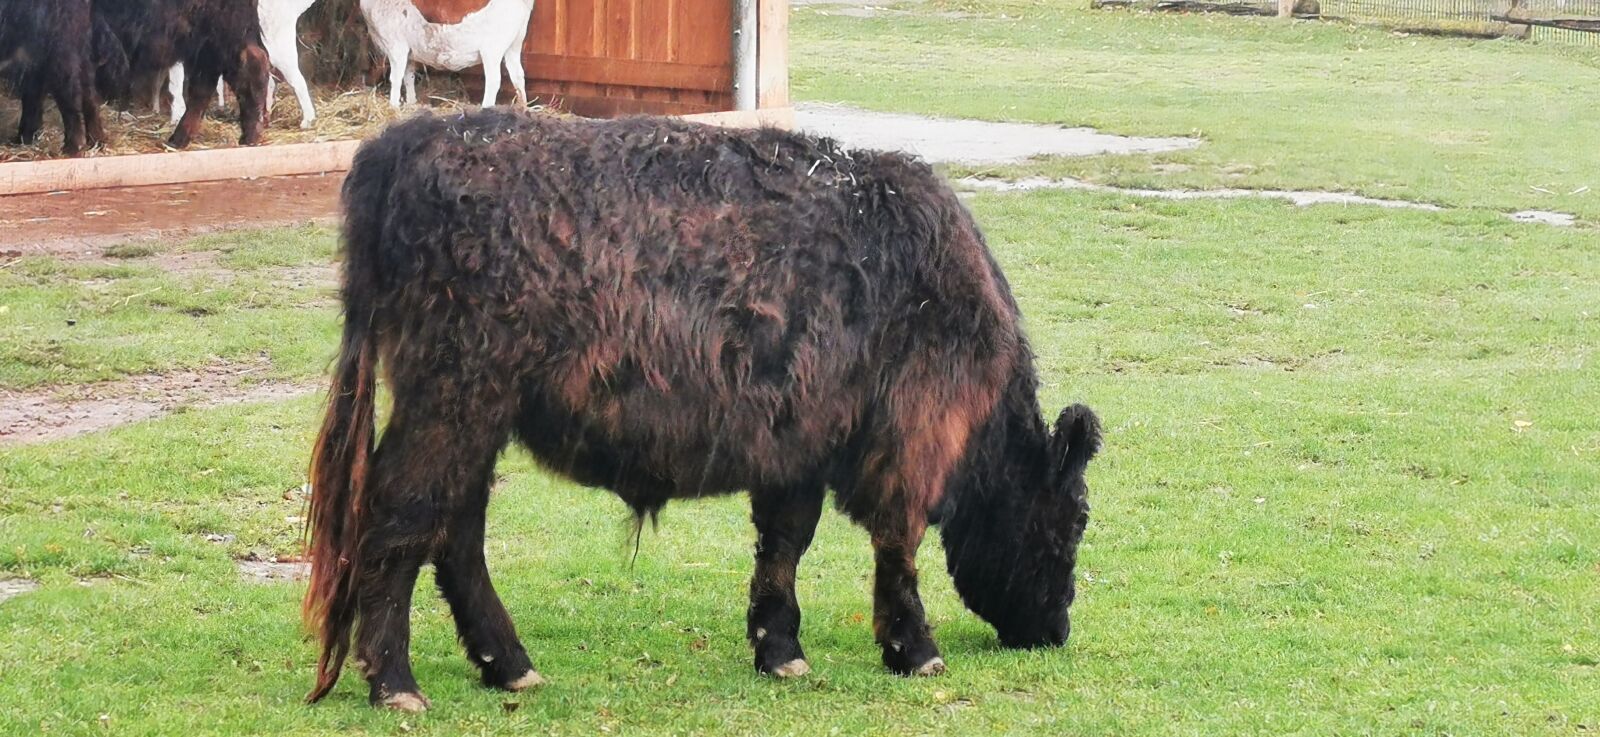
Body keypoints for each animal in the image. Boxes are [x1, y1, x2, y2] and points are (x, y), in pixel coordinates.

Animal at [303, 109, 1102, 712]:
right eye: (1072, 522)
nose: (1058, 627)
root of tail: (414, 137)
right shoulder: (909, 438)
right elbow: (895, 546)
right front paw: (917, 648)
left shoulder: (797, 441)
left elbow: (784, 544)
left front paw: (780, 650)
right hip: (455, 396)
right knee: (400, 516)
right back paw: (396, 684)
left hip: (476, 411)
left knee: (456, 531)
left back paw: (510, 665)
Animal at [358, 0, 533, 109]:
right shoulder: (409, 51)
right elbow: (409, 77)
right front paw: (411, 103)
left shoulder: (396, 46)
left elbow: (395, 78)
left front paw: (393, 106)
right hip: (514, 44)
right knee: (518, 76)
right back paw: (523, 108)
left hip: (492, 48)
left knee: (494, 81)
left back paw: (486, 108)